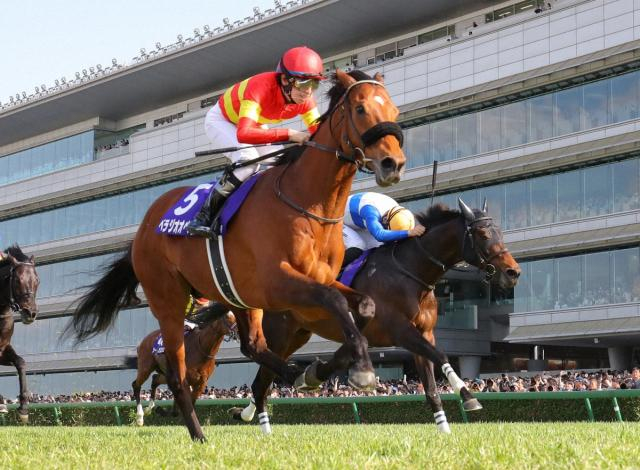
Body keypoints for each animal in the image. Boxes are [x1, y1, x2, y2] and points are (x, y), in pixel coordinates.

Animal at [66, 69, 406, 440]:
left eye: (393, 110)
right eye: (360, 109)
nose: (393, 164)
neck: (308, 203)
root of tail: (143, 229)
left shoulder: (317, 279)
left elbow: (364, 305)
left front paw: (325, 369)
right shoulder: (279, 282)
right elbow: (334, 301)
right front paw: (361, 370)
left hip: (238, 297)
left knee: (252, 345)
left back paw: (293, 373)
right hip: (168, 302)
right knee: (176, 376)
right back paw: (198, 434)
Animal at [229, 200, 521, 434]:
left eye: (500, 232)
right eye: (483, 234)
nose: (513, 272)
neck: (411, 273)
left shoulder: (423, 333)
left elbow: (431, 389)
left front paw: (445, 431)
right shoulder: (401, 331)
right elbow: (441, 356)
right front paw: (468, 394)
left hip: (297, 335)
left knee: (261, 382)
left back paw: (253, 415)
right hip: (280, 333)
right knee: (258, 368)